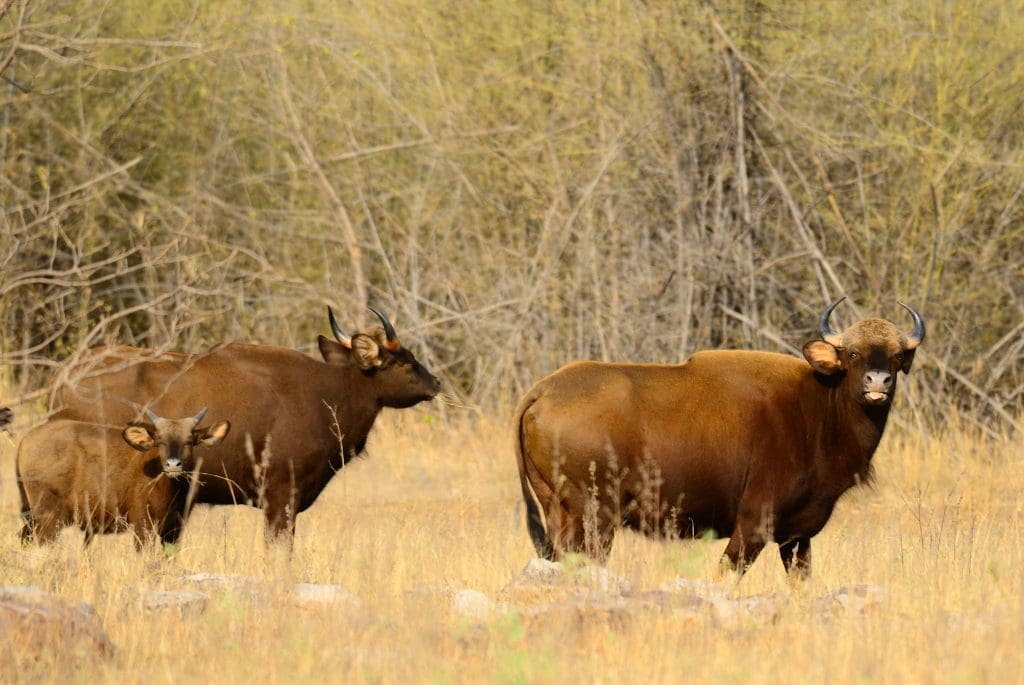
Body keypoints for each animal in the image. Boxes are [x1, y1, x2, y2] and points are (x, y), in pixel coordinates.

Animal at [18, 409, 230, 548]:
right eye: (160, 440)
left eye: (189, 440)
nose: (172, 465)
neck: (169, 487)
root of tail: (26, 439)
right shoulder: (143, 524)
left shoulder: (174, 527)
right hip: (48, 518)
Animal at [516, 298, 925, 577]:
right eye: (852, 353)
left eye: (896, 355)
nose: (877, 382)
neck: (818, 410)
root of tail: (543, 389)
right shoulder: (754, 524)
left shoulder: (796, 537)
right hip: (595, 517)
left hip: (558, 513)